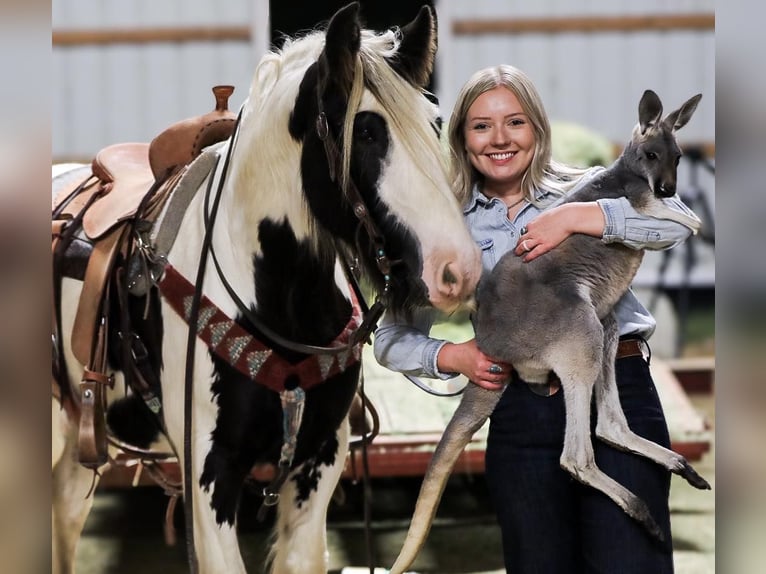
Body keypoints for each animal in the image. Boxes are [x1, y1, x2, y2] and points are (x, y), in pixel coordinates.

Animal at [49, 3, 480, 572]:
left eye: (434, 124)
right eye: (366, 132)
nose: (459, 269)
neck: (280, 302)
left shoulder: (318, 465)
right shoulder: (209, 480)